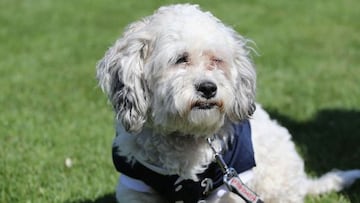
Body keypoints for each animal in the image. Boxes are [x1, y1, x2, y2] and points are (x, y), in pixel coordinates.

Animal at [95, 3, 360, 203]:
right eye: (180, 59)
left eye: (216, 60)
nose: (208, 88)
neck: (184, 137)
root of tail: (302, 182)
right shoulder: (136, 185)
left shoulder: (228, 185)